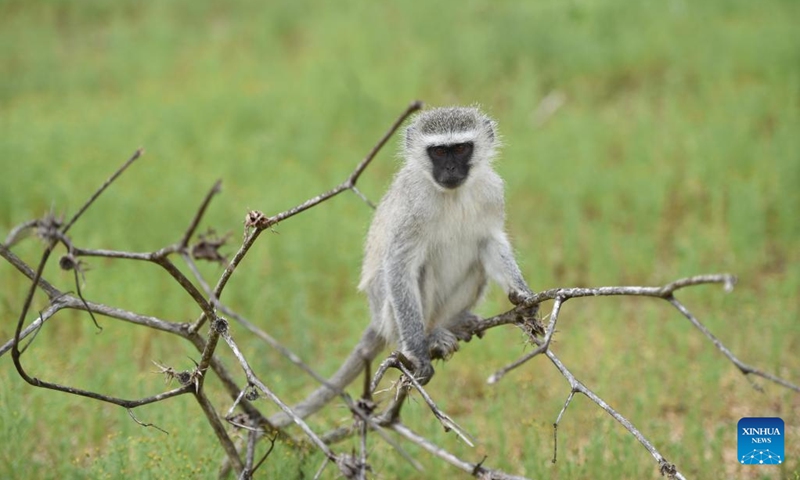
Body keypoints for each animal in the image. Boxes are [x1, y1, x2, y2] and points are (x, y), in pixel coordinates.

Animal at [269, 106, 535, 429]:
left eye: (461, 148)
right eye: (438, 152)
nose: (450, 170)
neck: (453, 195)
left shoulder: (491, 192)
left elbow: (490, 243)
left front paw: (523, 296)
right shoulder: (413, 208)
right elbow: (399, 266)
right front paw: (419, 353)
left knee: (478, 263)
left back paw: (455, 321)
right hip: (390, 316)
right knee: (419, 271)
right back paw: (430, 337)